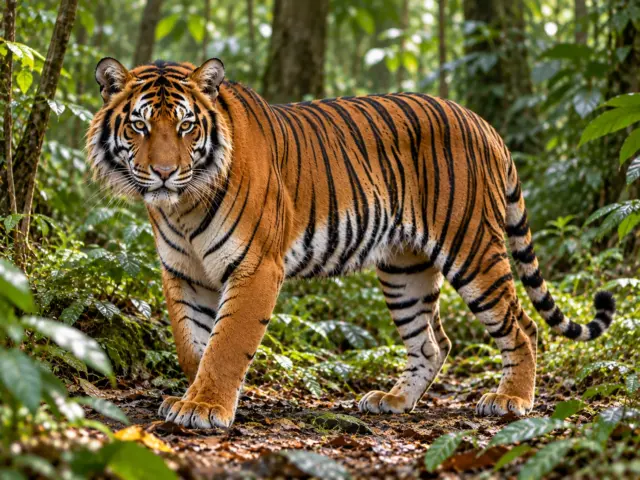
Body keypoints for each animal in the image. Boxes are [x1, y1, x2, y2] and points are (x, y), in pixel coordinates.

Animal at [86, 57, 616, 430]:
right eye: (139, 125)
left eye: (186, 126)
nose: (163, 172)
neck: (182, 205)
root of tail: (483, 123)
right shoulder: (183, 272)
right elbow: (192, 344)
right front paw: (193, 396)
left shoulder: (256, 266)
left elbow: (227, 343)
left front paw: (205, 407)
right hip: (405, 267)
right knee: (432, 342)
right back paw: (395, 400)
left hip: (472, 250)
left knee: (522, 325)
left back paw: (511, 401)